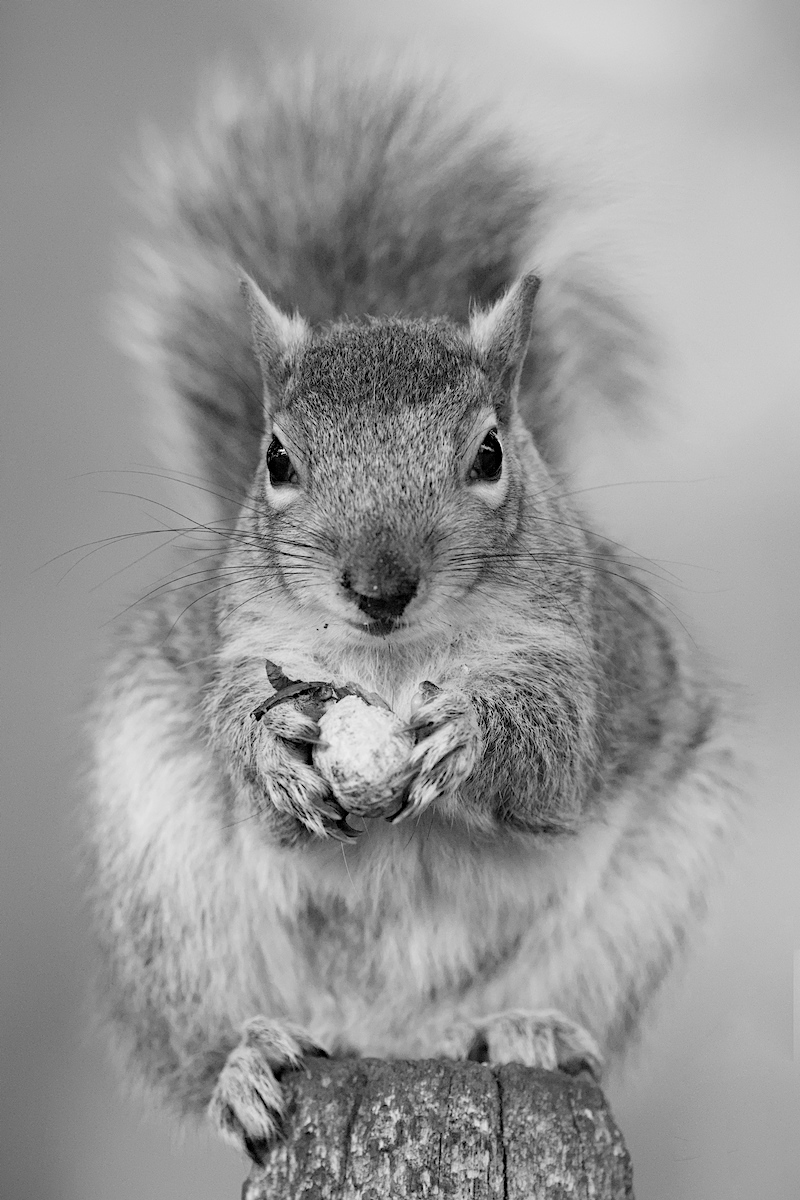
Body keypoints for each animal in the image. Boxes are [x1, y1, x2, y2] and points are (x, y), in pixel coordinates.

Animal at [88, 59, 739, 1162]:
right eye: (276, 459)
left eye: (489, 453)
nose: (379, 586)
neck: (391, 665)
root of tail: (379, 1035)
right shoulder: (242, 644)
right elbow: (241, 733)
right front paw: (271, 745)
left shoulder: (577, 654)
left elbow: (553, 754)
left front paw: (471, 730)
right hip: (167, 899)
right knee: (204, 1038)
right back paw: (243, 1061)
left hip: (626, 921)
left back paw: (514, 1028)